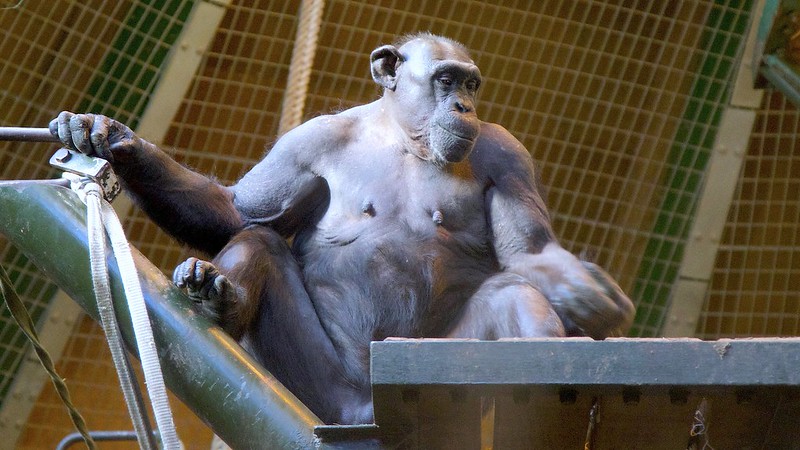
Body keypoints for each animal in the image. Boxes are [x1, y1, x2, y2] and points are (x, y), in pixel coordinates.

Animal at [51, 33, 636, 424]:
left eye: (471, 83)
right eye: (445, 79)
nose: (463, 104)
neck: (404, 135)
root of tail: (363, 415)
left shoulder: (511, 157)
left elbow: (526, 253)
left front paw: (584, 292)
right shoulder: (306, 142)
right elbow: (240, 211)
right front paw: (114, 139)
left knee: (514, 295)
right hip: (320, 389)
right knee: (260, 240)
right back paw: (216, 291)